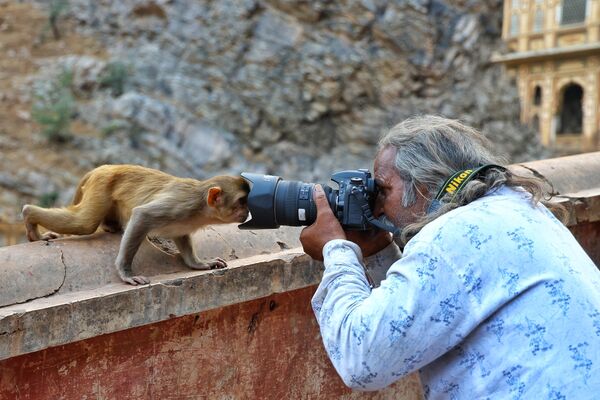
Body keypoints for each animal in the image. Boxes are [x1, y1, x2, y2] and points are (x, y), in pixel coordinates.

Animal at [22, 164, 250, 286]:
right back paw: (29, 215)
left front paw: (199, 264)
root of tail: (106, 167)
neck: (202, 208)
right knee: (84, 224)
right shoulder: (181, 205)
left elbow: (181, 235)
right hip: (101, 185)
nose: (248, 211)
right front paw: (126, 273)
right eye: (242, 201)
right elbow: (142, 215)